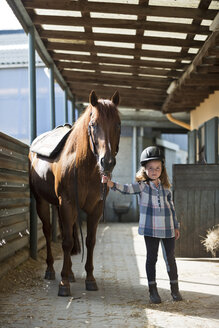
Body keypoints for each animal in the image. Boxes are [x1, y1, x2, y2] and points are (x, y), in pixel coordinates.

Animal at [28, 91, 120, 296]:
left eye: (118, 124)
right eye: (93, 124)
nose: (107, 162)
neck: (84, 167)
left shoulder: (95, 208)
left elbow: (90, 241)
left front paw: (90, 279)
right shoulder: (67, 204)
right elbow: (67, 242)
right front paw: (64, 284)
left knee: (67, 230)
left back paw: (70, 273)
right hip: (42, 202)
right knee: (48, 232)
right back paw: (51, 270)